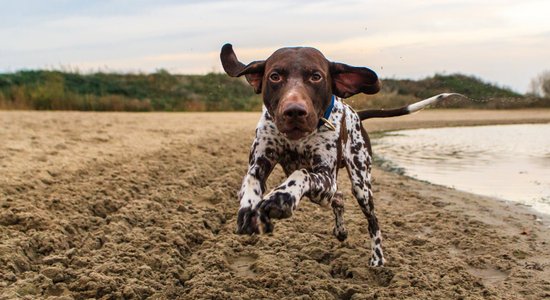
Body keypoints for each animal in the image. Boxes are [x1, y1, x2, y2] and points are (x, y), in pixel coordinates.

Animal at [220, 43, 458, 266]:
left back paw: (377, 259)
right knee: (338, 198)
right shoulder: (260, 162)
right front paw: (250, 210)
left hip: (362, 187)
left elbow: (301, 174)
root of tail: (358, 115)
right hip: (328, 193)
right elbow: (250, 182)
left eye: (316, 76)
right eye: (275, 76)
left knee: (372, 222)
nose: (294, 111)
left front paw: (281, 197)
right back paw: (341, 229)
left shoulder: (325, 175)